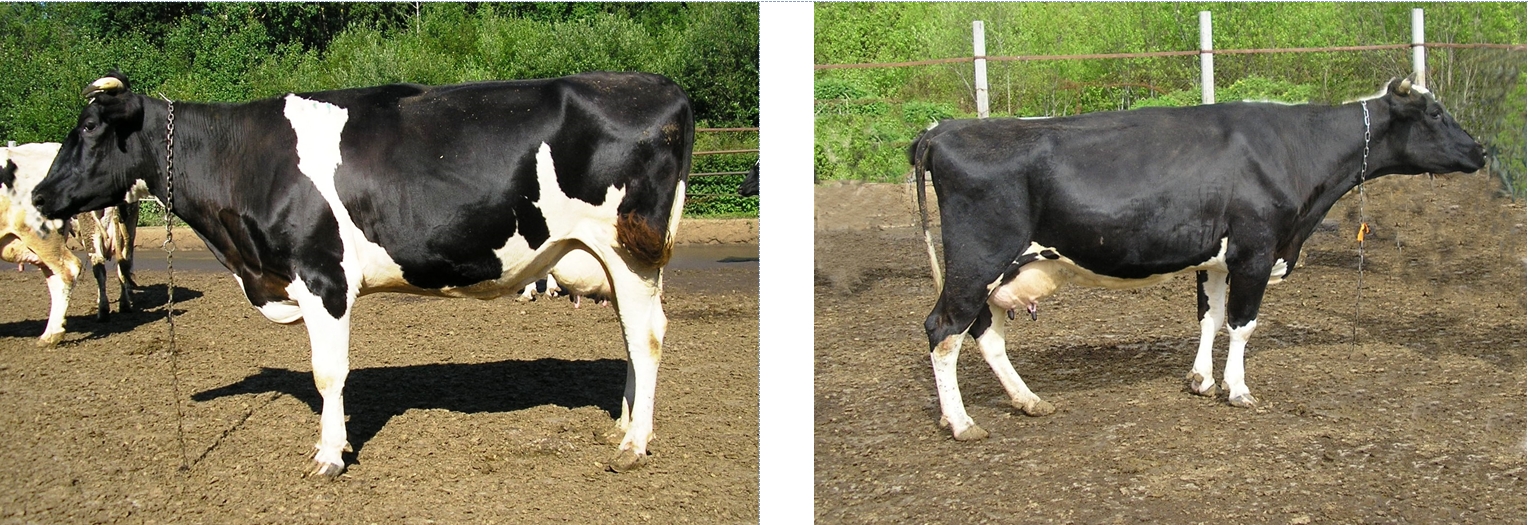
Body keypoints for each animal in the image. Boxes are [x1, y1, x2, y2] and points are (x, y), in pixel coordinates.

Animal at [33, 71, 693, 477]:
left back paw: (635, 444)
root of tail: (658, 86)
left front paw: (329, 455)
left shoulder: (322, 278)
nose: (38, 194)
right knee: (632, 339)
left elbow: (328, 374)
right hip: (616, 258)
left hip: (631, 251)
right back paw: (623, 427)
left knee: (648, 338)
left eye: (88, 129)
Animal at [910, 77, 1485, 441]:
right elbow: (1242, 325)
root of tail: (943, 129)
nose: (1481, 151)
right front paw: (1238, 389)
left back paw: (1027, 400)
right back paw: (962, 424)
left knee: (986, 334)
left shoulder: (1214, 258)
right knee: (943, 330)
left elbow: (1209, 317)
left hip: (997, 269)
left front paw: (1201, 381)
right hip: (977, 258)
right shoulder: (1256, 250)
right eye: (1435, 113)